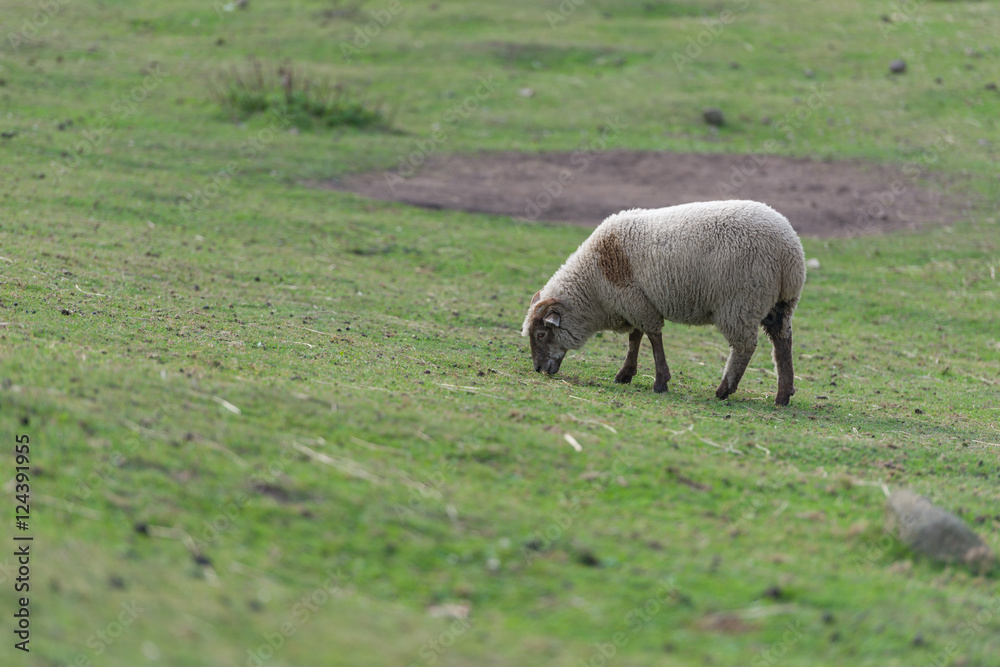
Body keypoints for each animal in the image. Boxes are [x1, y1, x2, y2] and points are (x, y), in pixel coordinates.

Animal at [520, 200, 808, 408]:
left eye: (541, 333)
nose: (538, 369)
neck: (593, 287)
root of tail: (789, 250)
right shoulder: (634, 302)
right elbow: (635, 338)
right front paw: (625, 374)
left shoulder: (635, 302)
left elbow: (652, 337)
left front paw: (660, 382)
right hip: (781, 304)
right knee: (782, 341)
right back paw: (783, 395)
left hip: (740, 303)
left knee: (744, 347)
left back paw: (724, 390)